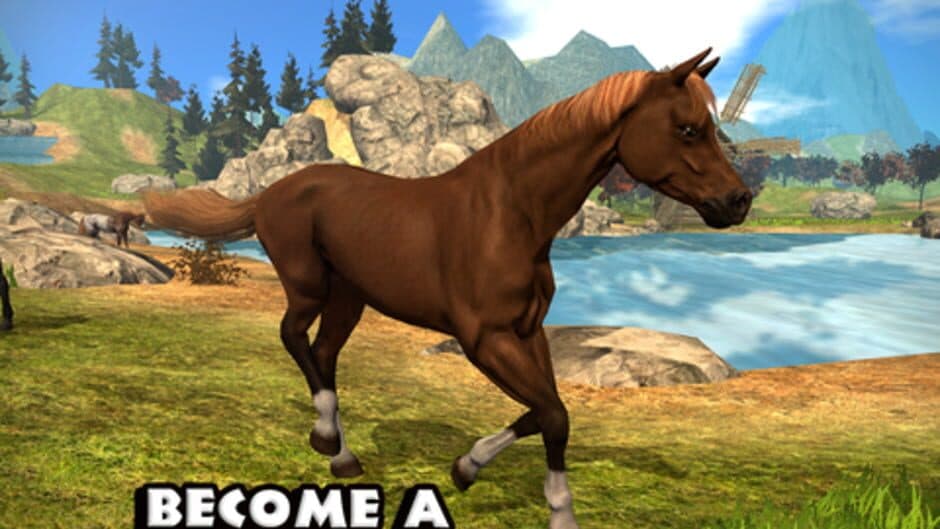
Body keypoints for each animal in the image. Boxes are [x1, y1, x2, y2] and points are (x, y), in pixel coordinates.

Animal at [143, 49, 750, 529]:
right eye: (689, 129)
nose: (739, 201)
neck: (512, 213)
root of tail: (270, 193)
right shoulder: (484, 339)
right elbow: (553, 414)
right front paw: (555, 510)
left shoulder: (528, 333)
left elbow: (547, 411)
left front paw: (467, 468)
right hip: (309, 287)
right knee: (294, 339)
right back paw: (332, 447)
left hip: (349, 299)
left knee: (323, 351)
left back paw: (338, 449)